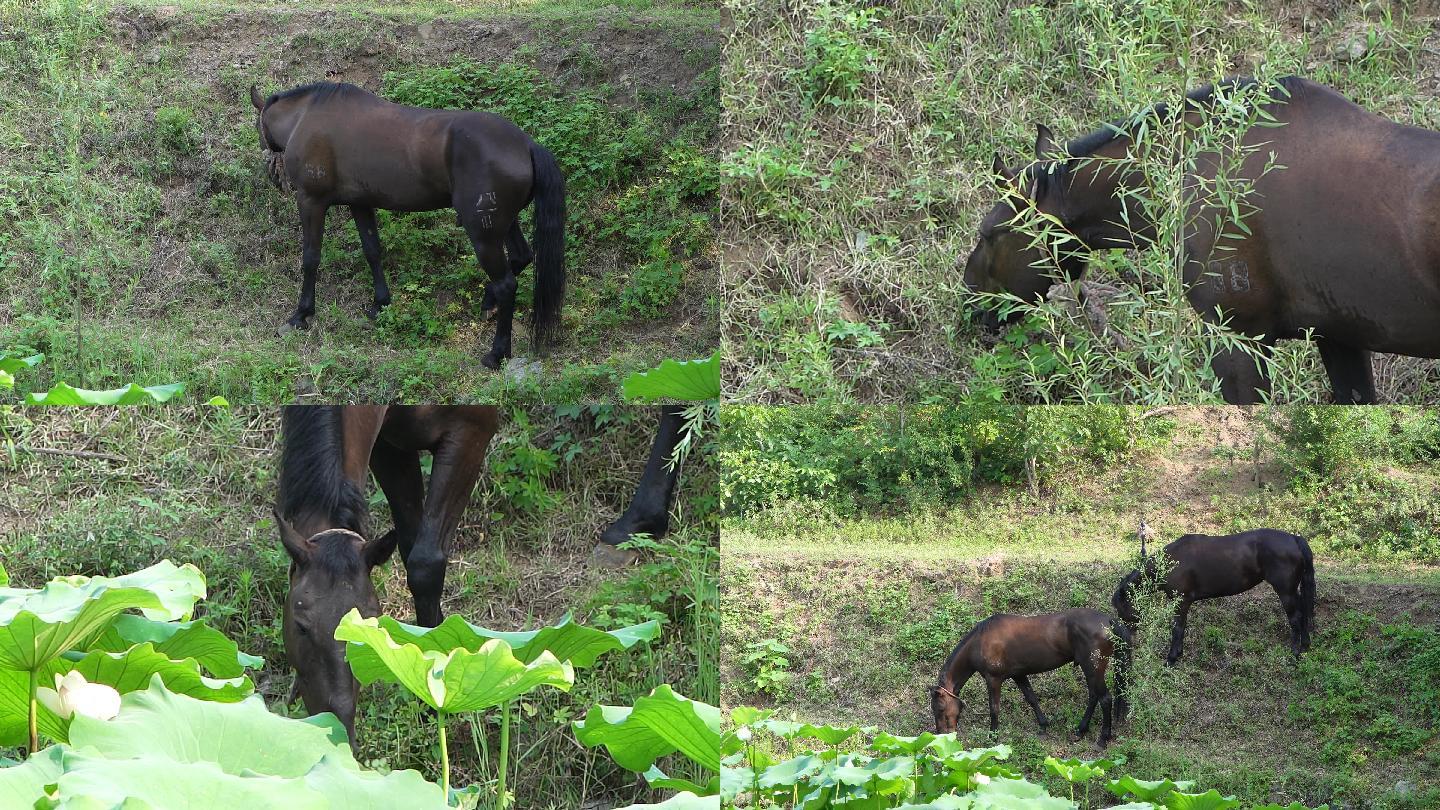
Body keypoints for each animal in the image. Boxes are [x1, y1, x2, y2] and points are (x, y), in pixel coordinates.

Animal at [244, 80, 564, 367]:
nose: (273, 175)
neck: (306, 116)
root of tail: (526, 145)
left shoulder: (311, 202)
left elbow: (311, 258)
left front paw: (301, 314)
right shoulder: (360, 204)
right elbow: (372, 250)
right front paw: (380, 304)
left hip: (484, 235)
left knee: (507, 284)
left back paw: (497, 353)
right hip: (504, 226)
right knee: (521, 258)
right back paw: (488, 303)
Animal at [275, 403, 501, 743]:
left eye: (367, 627)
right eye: (300, 626)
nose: (336, 726)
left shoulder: (472, 430)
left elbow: (425, 564)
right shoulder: (390, 447)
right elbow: (409, 544)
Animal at [927, 605, 1128, 743]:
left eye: (940, 708)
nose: (941, 735)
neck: (980, 641)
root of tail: (1108, 620)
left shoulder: (994, 679)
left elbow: (994, 708)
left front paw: (993, 737)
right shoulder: (1019, 675)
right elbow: (1031, 699)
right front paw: (1043, 726)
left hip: (1093, 668)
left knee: (1105, 698)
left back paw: (1103, 738)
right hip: (1091, 671)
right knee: (1094, 696)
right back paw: (1081, 730)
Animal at [1111, 524, 1319, 662]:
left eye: (1120, 608)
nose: (1126, 638)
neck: (1171, 562)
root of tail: (1294, 538)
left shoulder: (1181, 602)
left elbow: (1177, 629)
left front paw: (1171, 658)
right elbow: (1181, 628)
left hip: (1286, 592)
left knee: (1296, 617)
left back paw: (1295, 651)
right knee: (1303, 613)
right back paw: (1305, 645)